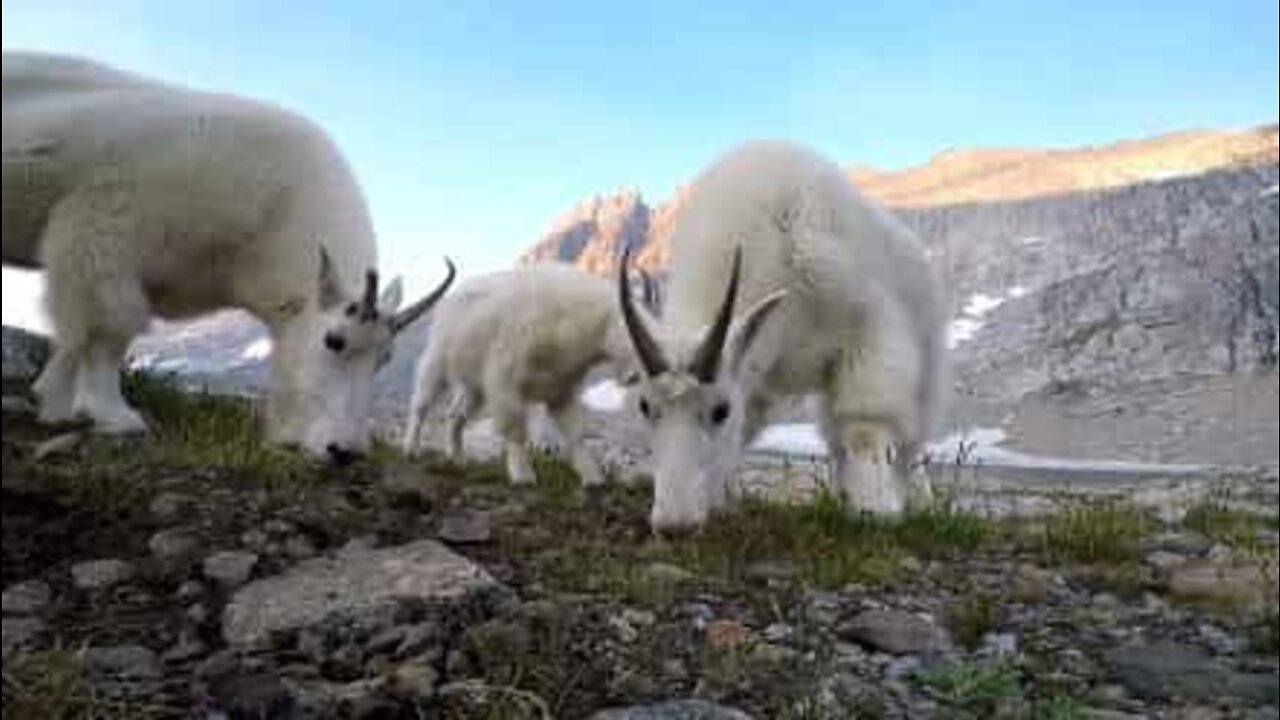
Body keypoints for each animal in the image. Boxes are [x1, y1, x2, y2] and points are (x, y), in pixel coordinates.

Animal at [2, 51, 455, 458]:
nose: (344, 451)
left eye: (385, 357)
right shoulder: (100, 230)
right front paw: (113, 415)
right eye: (333, 340)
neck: (275, 209)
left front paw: (53, 403)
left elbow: (75, 340)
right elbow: (106, 332)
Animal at [401, 260, 660, 484]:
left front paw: (592, 477)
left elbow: (575, 433)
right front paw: (523, 475)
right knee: (421, 403)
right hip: (438, 359)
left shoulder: (561, 391)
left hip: (474, 386)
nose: (635, 377)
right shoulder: (505, 382)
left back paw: (457, 458)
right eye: (630, 332)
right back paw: (411, 448)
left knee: (456, 414)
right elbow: (516, 430)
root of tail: (454, 296)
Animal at [619, 140, 952, 530]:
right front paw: (722, 500)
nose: (675, 524)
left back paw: (916, 502)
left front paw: (876, 510)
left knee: (909, 439)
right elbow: (748, 428)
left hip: (927, 357)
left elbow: (865, 427)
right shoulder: (753, 365)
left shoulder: (869, 335)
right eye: (644, 406)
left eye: (721, 410)